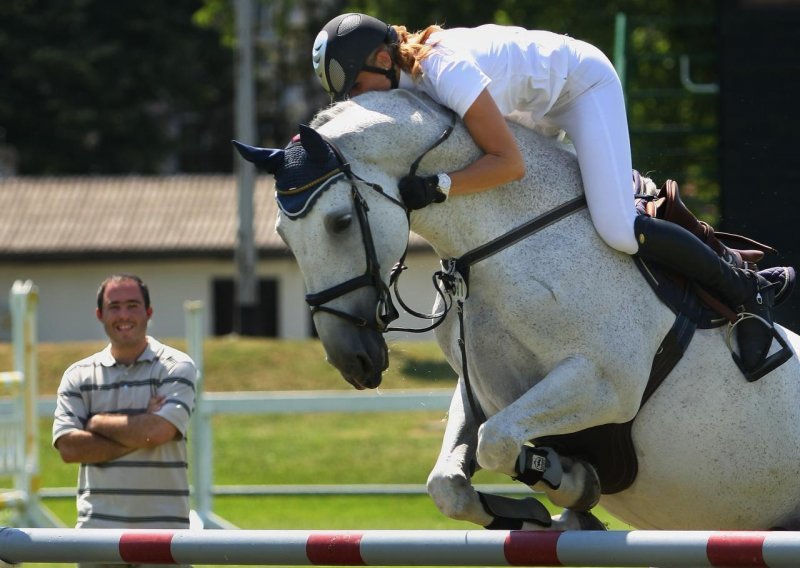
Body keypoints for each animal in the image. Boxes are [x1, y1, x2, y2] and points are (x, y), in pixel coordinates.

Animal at [234, 91, 800, 532]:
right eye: (283, 234)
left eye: (340, 221)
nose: (352, 360)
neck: (495, 250)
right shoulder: (479, 392)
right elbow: (448, 482)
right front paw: (533, 510)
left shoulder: (606, 383)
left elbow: (497, 443)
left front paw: (571, 483)